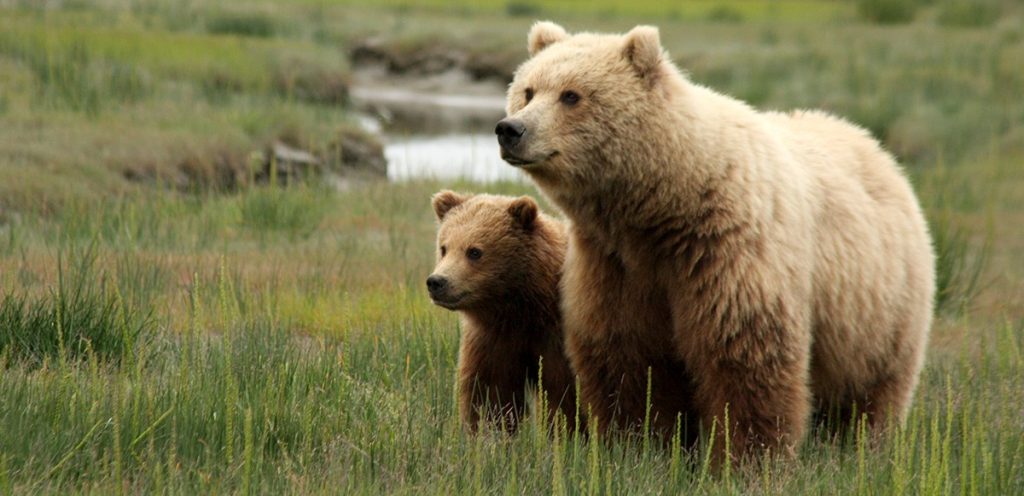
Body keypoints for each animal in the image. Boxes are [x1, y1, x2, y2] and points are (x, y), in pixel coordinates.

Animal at [427, 191, 581, 433]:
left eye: (474, 251)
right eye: (444, 248)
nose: (437, 282)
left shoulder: (558, 338)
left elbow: (564, 395)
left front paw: (563, 434)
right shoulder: (494, 340)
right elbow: (491, 397)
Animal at [495, 22, 935, 460]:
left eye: (571, 95)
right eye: (528, 90)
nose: (510, 129)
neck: (660, 210)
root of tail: (876, 147)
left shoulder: (725, 252)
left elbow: (743, 359)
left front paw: (747, 458)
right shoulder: (615, 265)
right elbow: (627, 359)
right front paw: (636, 447)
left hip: (878, 307)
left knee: (871, 392)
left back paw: (865, 446)